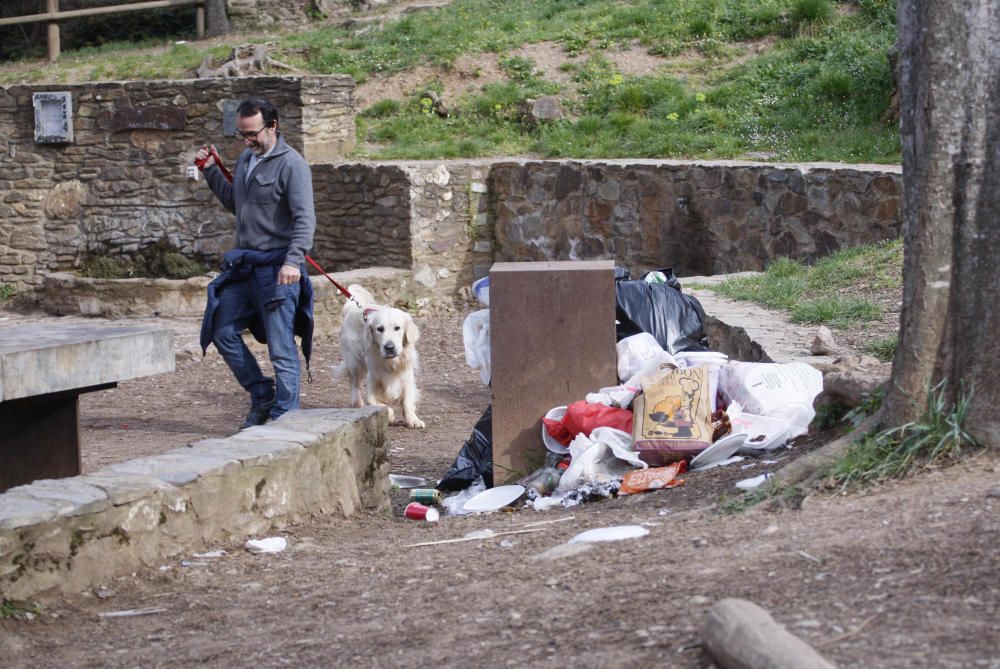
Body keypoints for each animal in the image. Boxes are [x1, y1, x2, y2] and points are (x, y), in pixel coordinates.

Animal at [334, 284, 424, 428]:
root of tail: (352, 307)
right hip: (355, 361)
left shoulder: (407, 377)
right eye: (379, 329)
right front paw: (390, 415)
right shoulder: (373, 380)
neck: (390, 363)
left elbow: (408, 402)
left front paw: (413, 420)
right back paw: (357, 403)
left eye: (397, 328)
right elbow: (378, 404)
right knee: (354, 382)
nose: (389, 347)